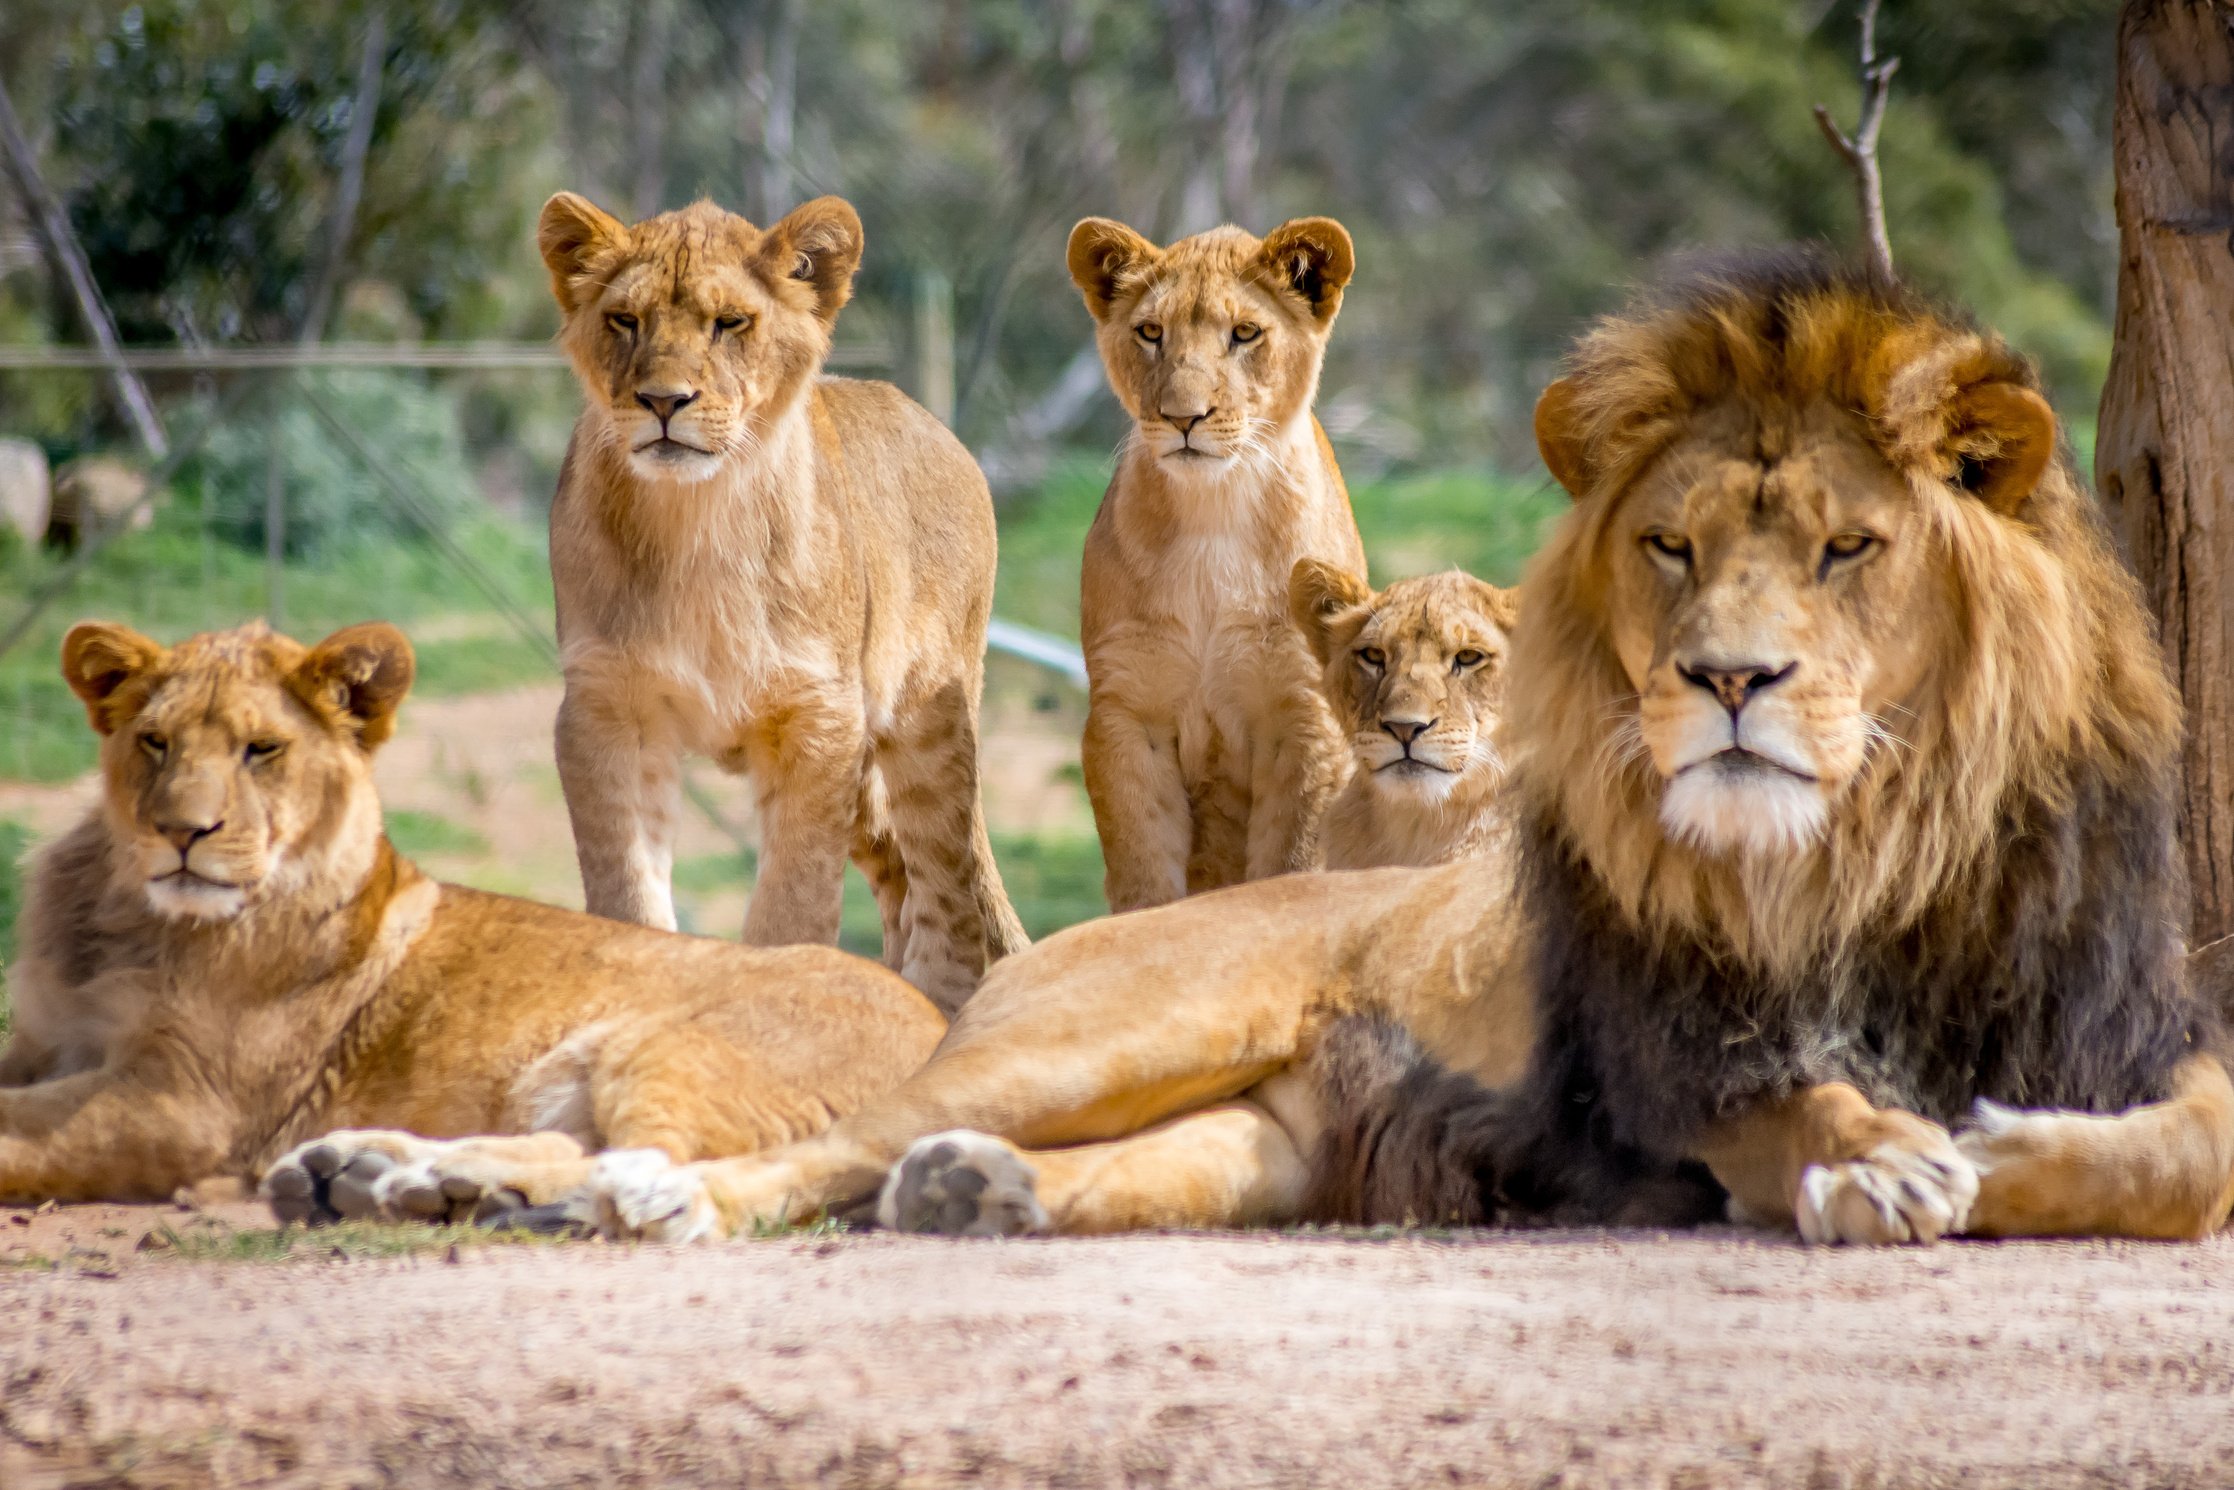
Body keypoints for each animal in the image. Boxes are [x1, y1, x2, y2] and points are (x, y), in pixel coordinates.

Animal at [0, 616, 942, 1215]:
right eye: (154, 743)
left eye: (260, 750)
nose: (182, 832)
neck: (129, 918)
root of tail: (941, 1023)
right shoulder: (43, 1043)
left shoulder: (184, 1102)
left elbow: (18, 1133)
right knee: (580, 1148)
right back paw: (378, 1174)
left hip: (670, 1048)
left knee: (643, 1161)